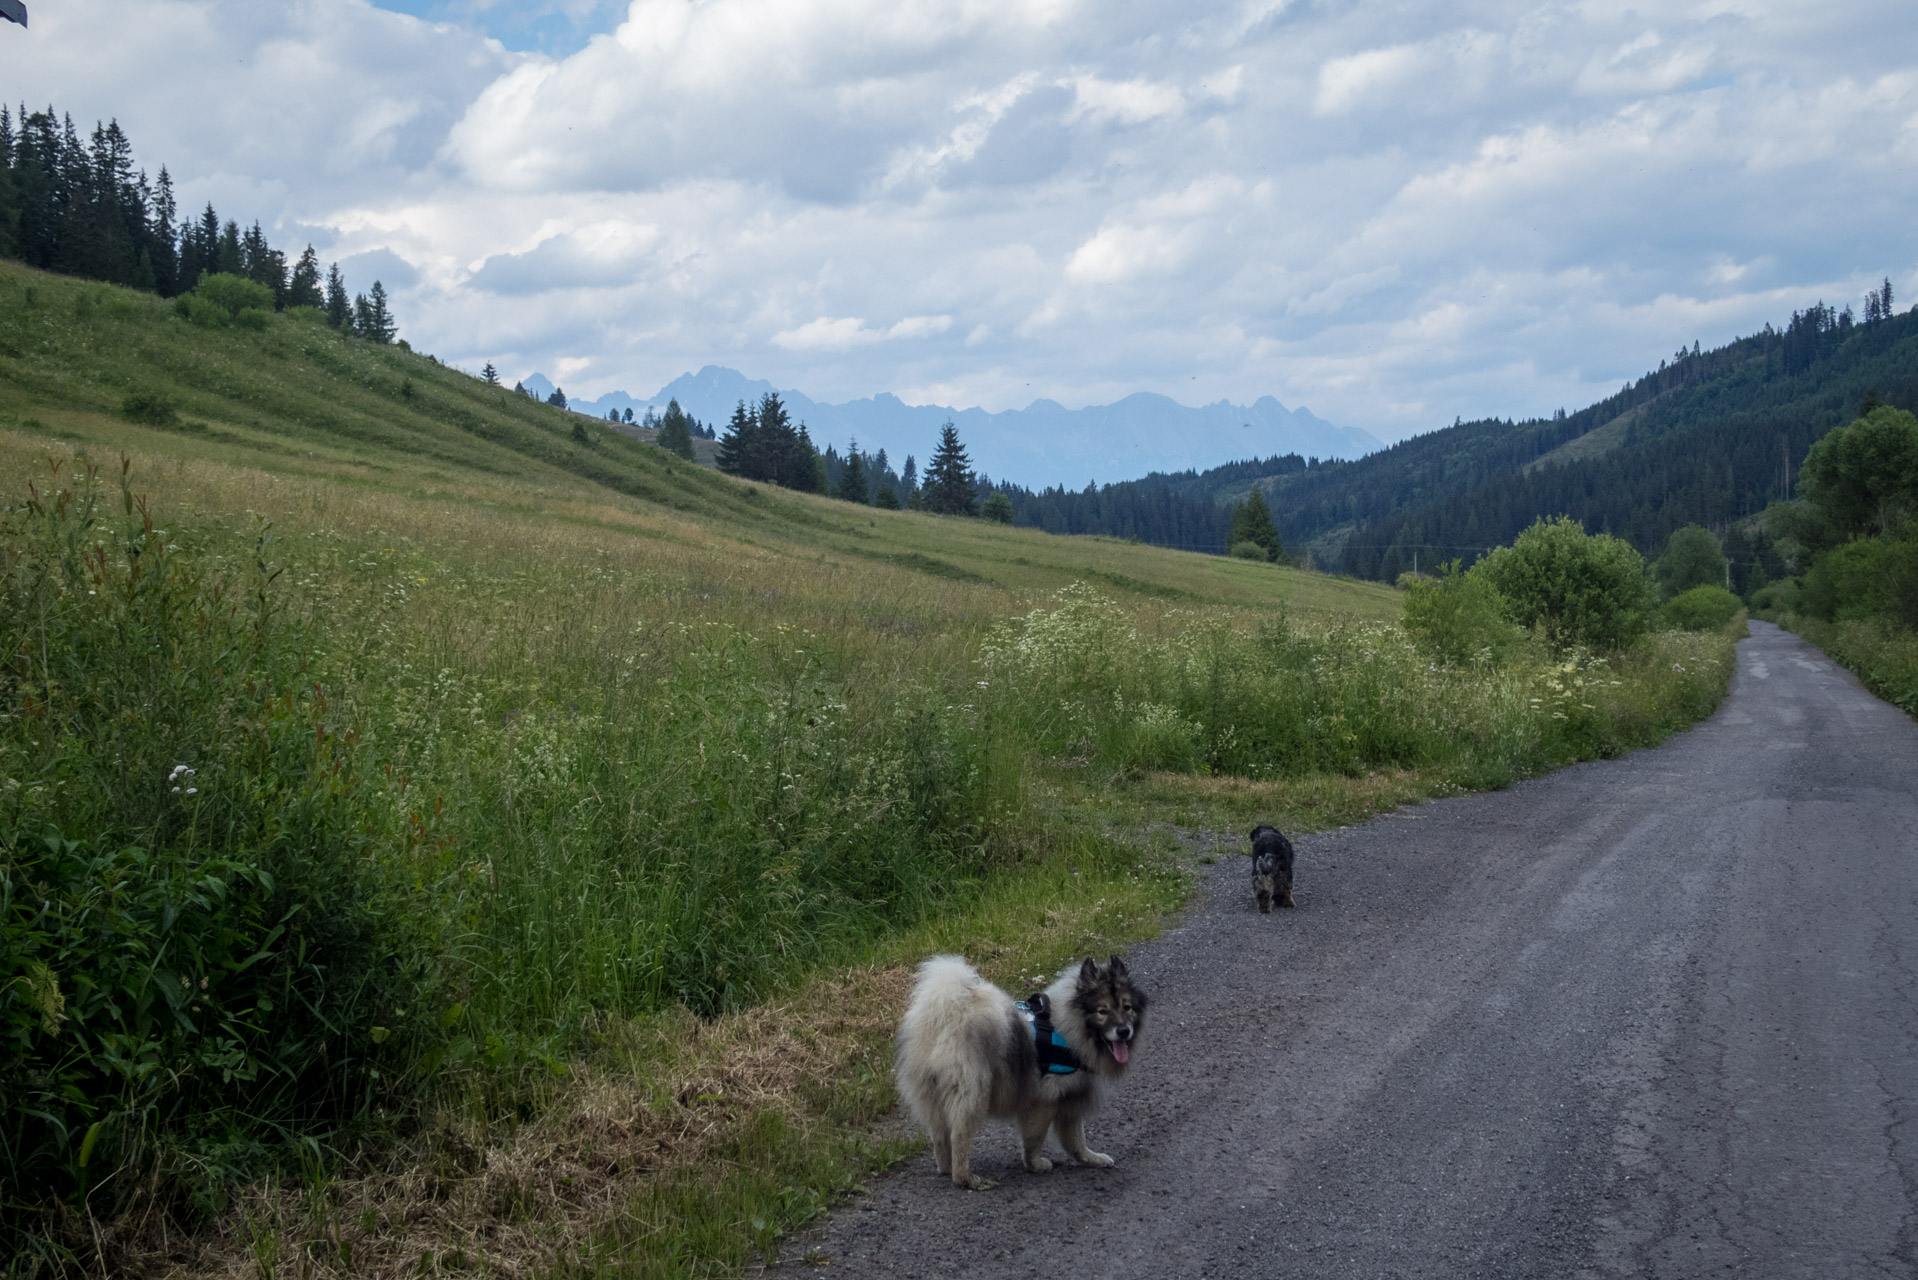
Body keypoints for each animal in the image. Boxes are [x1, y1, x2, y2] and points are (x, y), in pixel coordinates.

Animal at [893, 951, 1143, 1189]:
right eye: (1102, 1011)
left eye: (1127, 1008)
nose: (1124, 1031)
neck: (1070, 1028)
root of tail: (942, 1020)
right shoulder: (1045, 1100)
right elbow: (1036, 1139)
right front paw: (1036, 1165)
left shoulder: (1069, 1100)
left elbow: (1075, 1141)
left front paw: (1091, 1159)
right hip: (973, 1094)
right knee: (959, 1136)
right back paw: (965, 1178)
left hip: (934, 1096)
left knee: (939, 1136)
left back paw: (946, 1168)